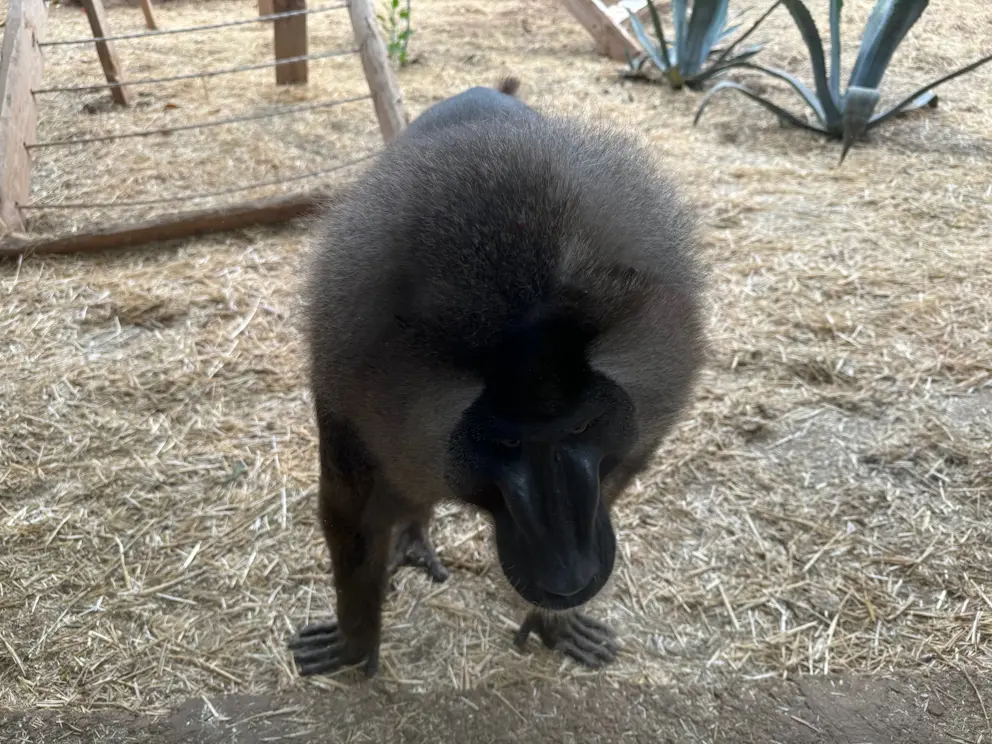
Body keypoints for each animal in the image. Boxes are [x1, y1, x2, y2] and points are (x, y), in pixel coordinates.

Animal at [288, 77, 706, 678]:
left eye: (581, 429)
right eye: (508, 443)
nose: (569, 575)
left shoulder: (642, 424)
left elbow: (614, 479)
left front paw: (553, 623)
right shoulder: (350, 401)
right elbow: (351, 517)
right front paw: (355, 638)